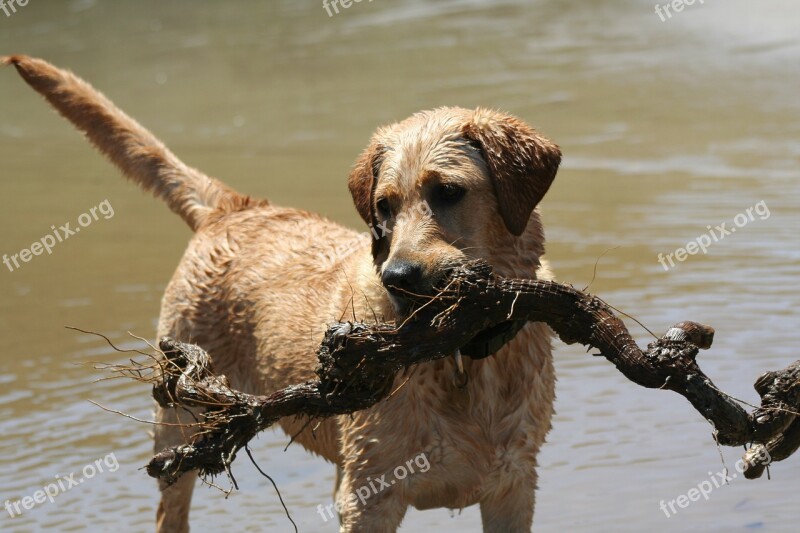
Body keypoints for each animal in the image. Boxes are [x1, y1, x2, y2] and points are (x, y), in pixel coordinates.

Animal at [7, 56, 564, 528]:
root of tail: (233, 207)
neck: (462, 361)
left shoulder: (515, 488)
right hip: (180, 426)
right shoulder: (371, 496)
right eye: (384, 206)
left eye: (448, 191)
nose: (398, 279)